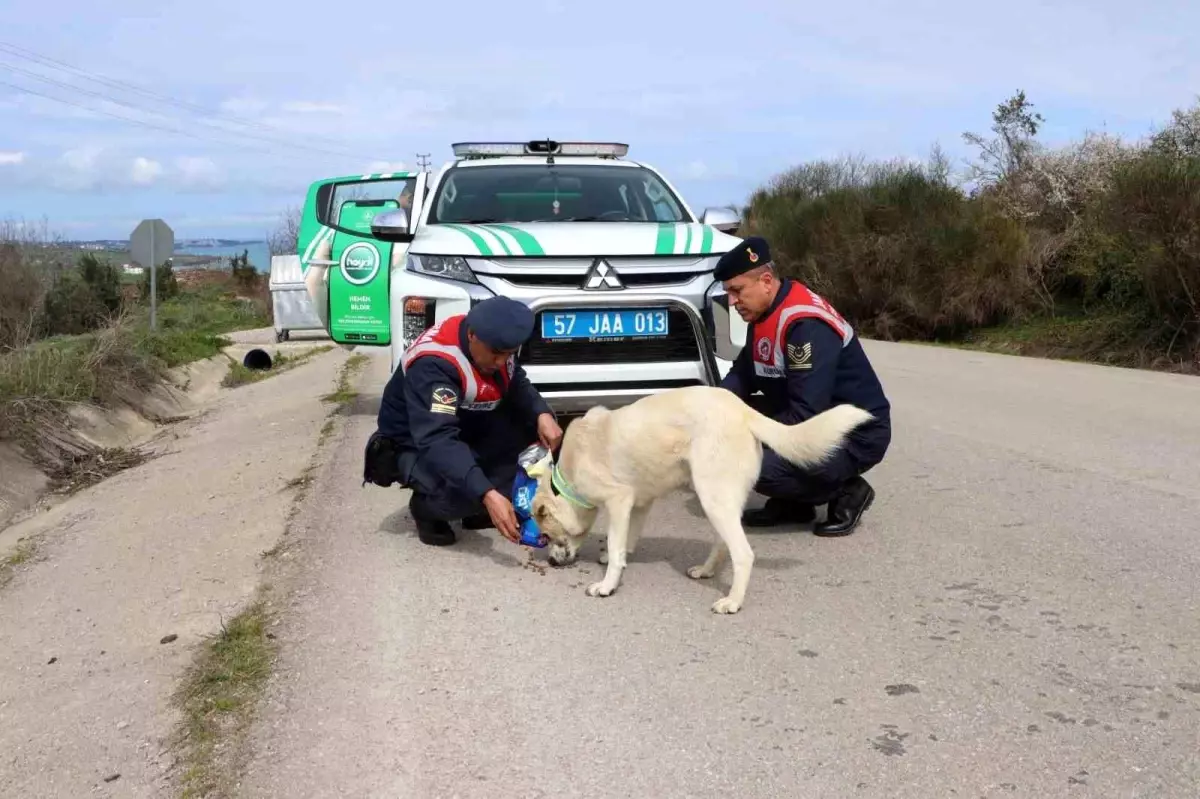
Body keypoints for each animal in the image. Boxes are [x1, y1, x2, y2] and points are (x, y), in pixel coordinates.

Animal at [532, 383, 873, 611]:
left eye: (547, 536)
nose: (550, 562)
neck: (568, 476)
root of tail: (743, 410)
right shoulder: (639, 503)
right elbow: (627, 540)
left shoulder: (619, 500)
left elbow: (617, 547)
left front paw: (607, 585)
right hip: (716, 499)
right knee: (723, 544)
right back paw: (706, 571)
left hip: (712, 497)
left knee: (743, 554)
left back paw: (732, 602)